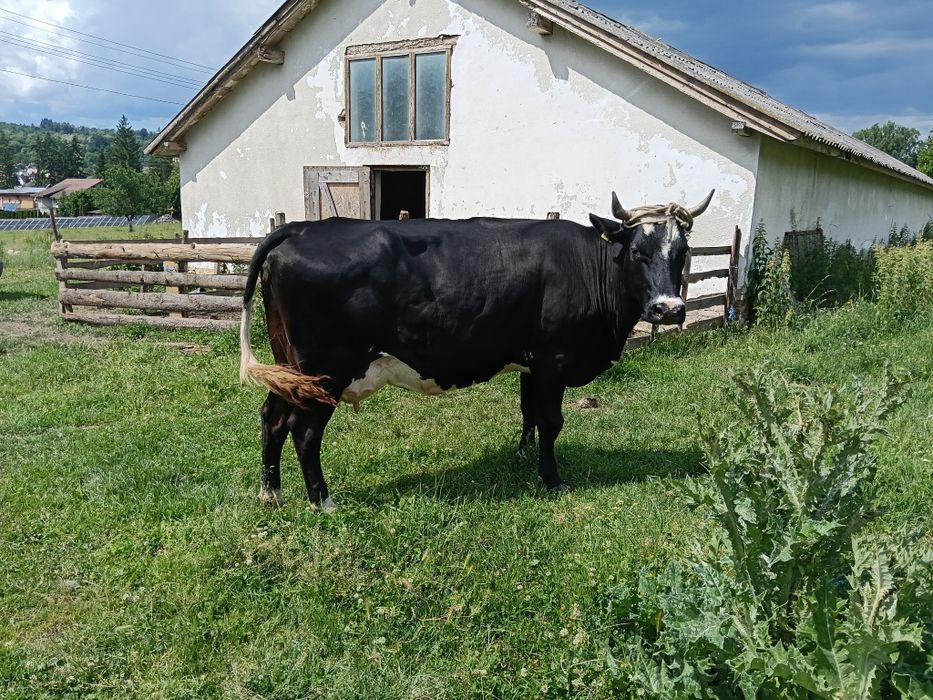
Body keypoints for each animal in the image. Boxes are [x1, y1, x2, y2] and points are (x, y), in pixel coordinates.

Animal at [239, 190, 715, 509]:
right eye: (636, 251)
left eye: (683, 252)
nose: (669, 308)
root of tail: (301, 227)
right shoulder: (555, 361)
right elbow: (552, 421)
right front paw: (551, 479)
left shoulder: (531, 362)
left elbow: (528, 412)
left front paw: (522, 457)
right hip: (326, 369)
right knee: (304, 430)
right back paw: (322, 500)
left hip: (289, 364)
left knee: (272, 417)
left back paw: (270, 492)